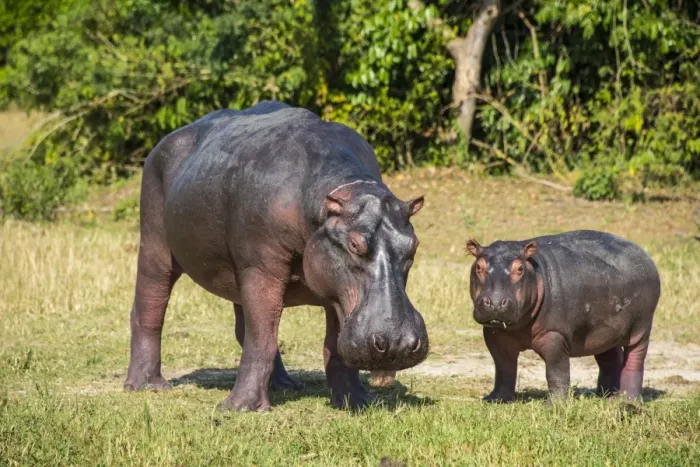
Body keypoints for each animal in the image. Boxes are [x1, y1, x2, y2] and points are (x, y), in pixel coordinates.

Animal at [124, 101, 428, 411]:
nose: (398, 342)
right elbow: (261, 339)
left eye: (413, 244)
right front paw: (239, 408)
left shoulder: (331, 284)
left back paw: (285, 384)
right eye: (355, 244)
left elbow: (329, 345)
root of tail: (163, 143)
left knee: (250, 326)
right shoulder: (262, 268)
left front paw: (356, 401)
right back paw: (147, 385)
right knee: (150, 307)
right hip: (156, 244)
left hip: (239, 274)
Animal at [465, 230, 660, 401]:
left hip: (642, 326)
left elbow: (556, 371)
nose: (495, 302)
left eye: (519, 268)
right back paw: (606, 396)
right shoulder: (494, 334)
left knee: (635, 359)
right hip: (603, 330)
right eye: (479, 267)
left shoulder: (555, 336)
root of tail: (643, 253)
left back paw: (628, 400)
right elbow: (503, 368)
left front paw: (555, 405)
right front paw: (496, 399)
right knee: (610, 358)